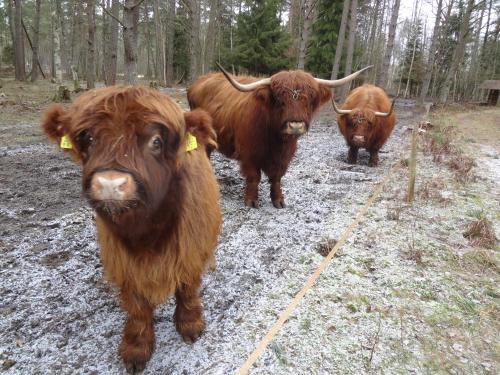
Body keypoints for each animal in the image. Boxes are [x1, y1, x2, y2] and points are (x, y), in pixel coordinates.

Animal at [42, 87, 222, 374]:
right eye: (89, 138)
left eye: (156, 141)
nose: (109, 184)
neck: (148, 232)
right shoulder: (122, 261)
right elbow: (137, 307)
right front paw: (137, 348)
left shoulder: (192, 245)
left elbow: (187, 287)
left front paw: (190, 324)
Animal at [188, 64, 372, 209]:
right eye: (279, 99)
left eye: (309, 99)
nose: (295, 126)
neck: (275, 140)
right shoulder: (248, 154)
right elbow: (254, 177)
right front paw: (251, 200)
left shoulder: (285, 156)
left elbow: (276, 177)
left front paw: (278, 200)